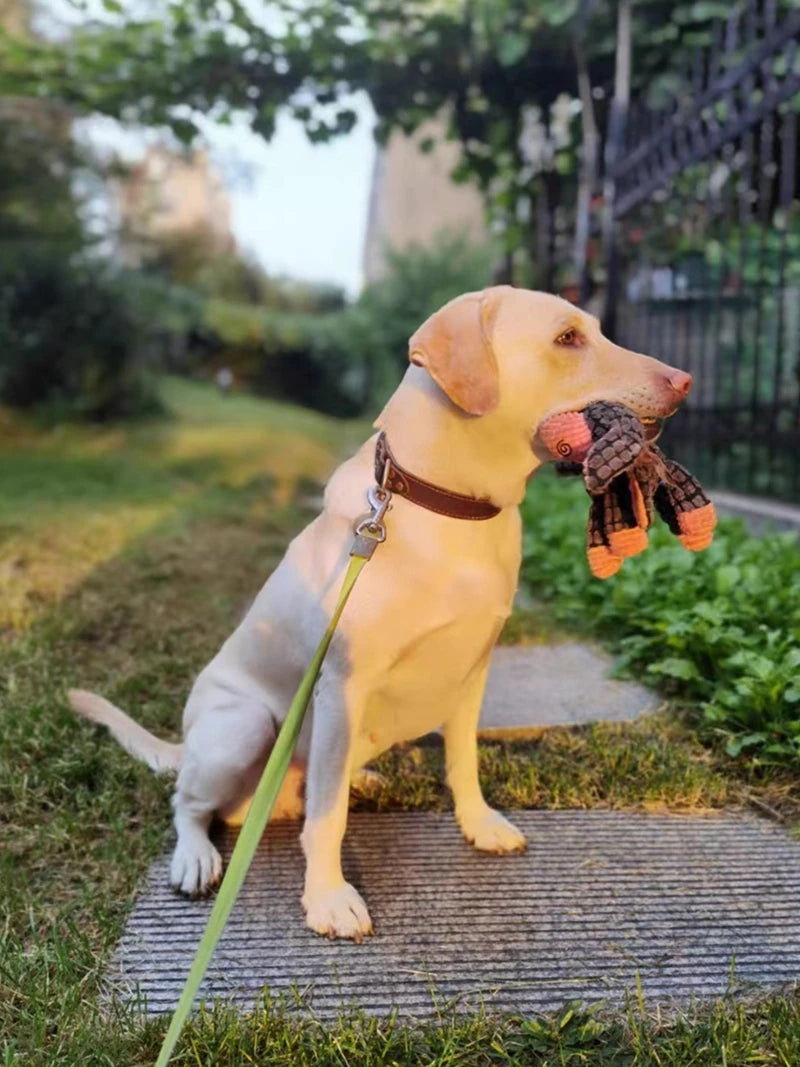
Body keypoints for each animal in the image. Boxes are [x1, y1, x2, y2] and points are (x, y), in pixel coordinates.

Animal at [70, 288, 695, 938]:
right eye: (567, 338)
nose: (686, 381)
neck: (452, 506)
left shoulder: (472, 672)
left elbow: (463, 762)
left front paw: (478, 824)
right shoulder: (342, 686)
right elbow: (327, 819)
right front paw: (327, 898)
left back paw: (359, 778)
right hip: (242, 726)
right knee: (192, 804)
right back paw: (196, 854)